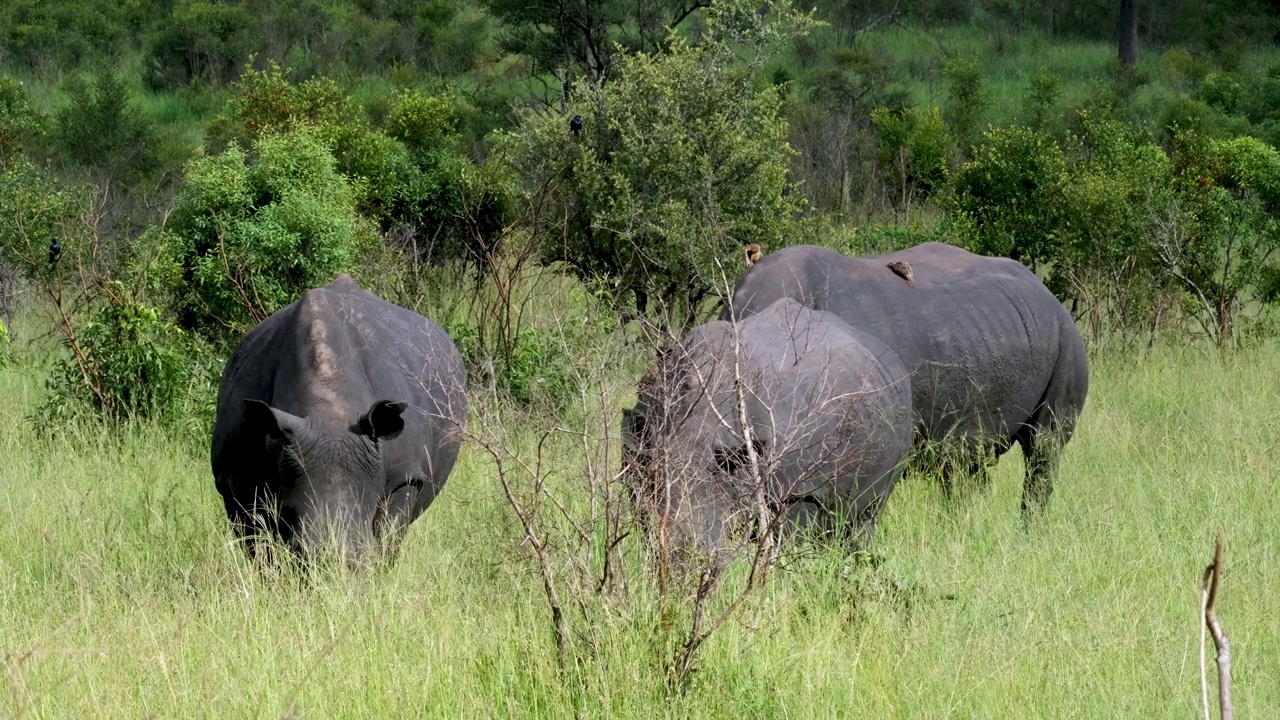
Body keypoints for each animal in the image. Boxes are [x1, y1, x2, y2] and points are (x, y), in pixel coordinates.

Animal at [212, 271, 468, 558]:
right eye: (287, 512)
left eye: (369, 506)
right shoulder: (238, 480)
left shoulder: (405, 476)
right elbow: (258, 545)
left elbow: (388, 536)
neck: (328, 406)